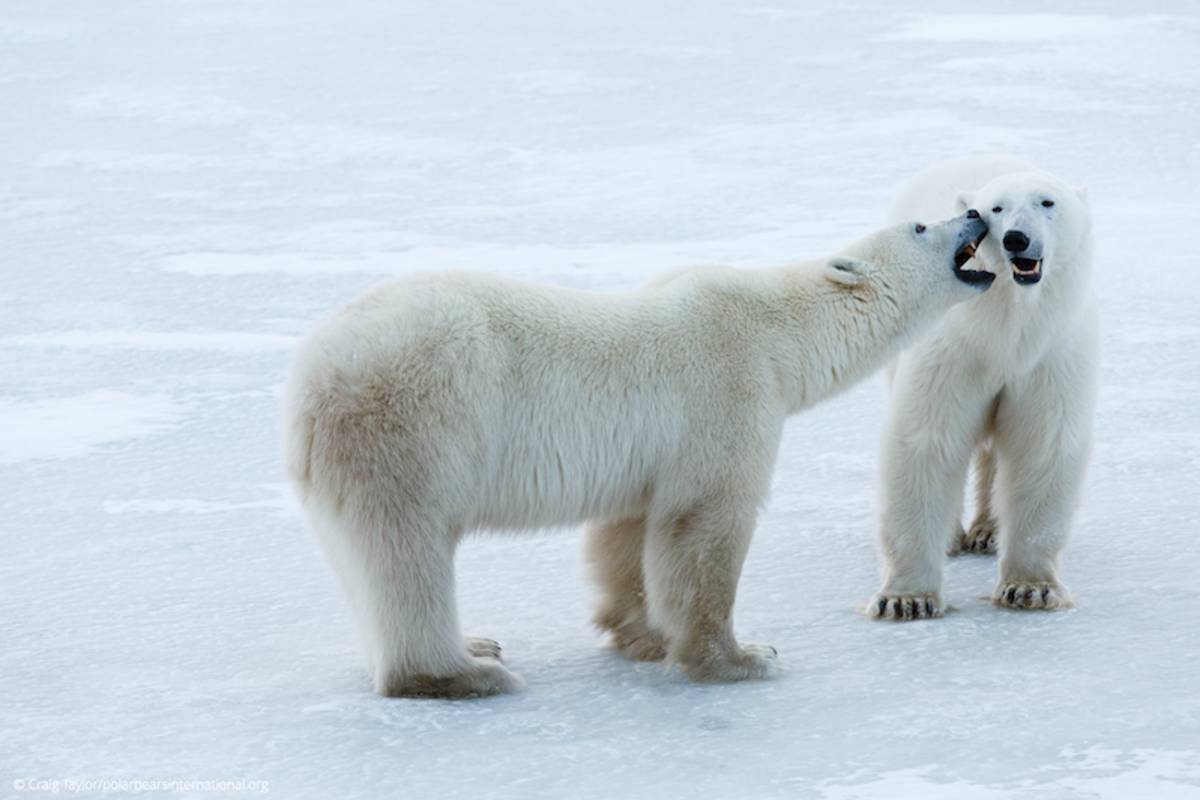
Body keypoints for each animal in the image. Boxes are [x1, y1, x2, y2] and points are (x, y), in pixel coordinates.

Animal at [285, 215, 988, 695]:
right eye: (922, 223)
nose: (979, 215)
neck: (777, 330)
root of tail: (310, 378)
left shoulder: (647, 457)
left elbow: (627, 533)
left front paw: (642, 634)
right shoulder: (727, 389)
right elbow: (705, 525)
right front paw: (742, 658)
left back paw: (477, 643)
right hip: (410, 427)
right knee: (407, 554)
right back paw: (466, 673)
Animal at [868, 155, 1099, 618]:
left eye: (1047, 201)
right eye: (996, 208)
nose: (1016, 238)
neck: (1008, 325)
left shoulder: (1050, 356)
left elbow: (1041, 444)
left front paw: (1030, 588)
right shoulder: (953, 350)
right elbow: (928, 439)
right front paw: (906, 597)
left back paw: (989, 531)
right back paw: (956, 535)